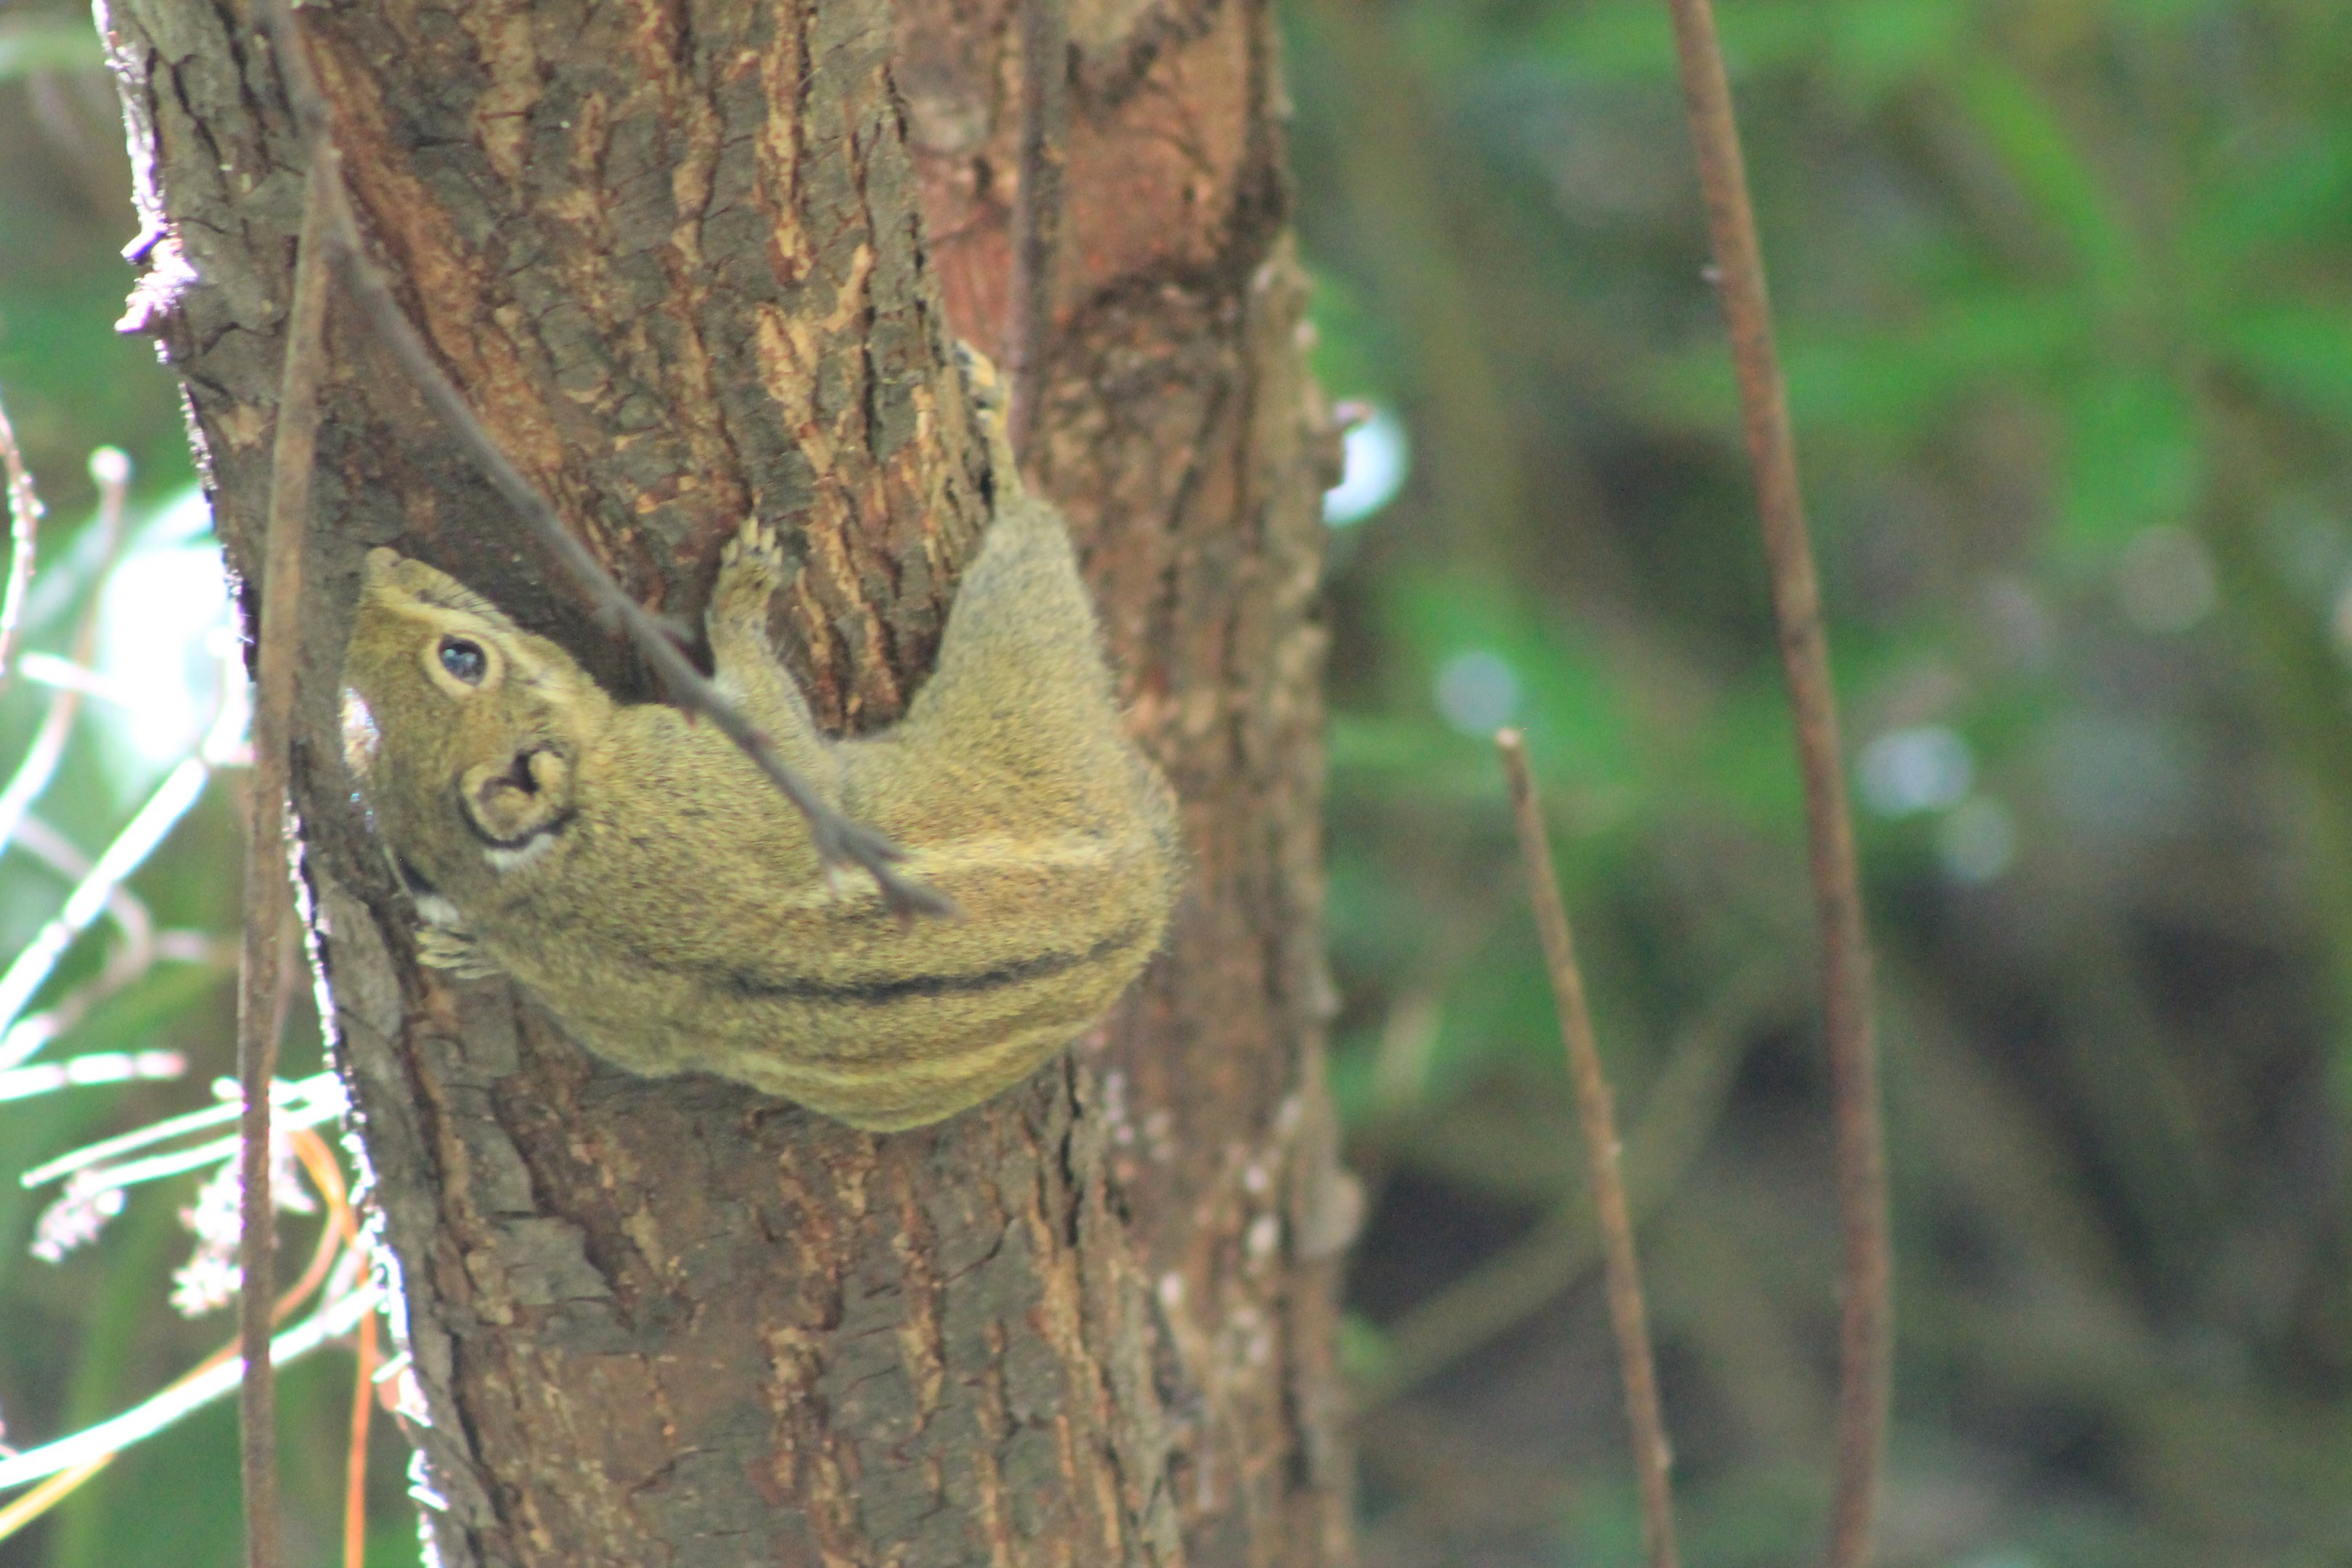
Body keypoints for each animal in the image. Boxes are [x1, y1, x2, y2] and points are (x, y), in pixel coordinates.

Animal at [337, 354, 1181, 1131]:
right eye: (460, 658)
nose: (375, 564)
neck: (551, 862)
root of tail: (1145, 897)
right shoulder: (705, 776)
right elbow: (781, 733)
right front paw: (742, 596)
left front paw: (467, 949)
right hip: (1028, 667)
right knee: (1030, 545)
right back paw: (1003, 458)